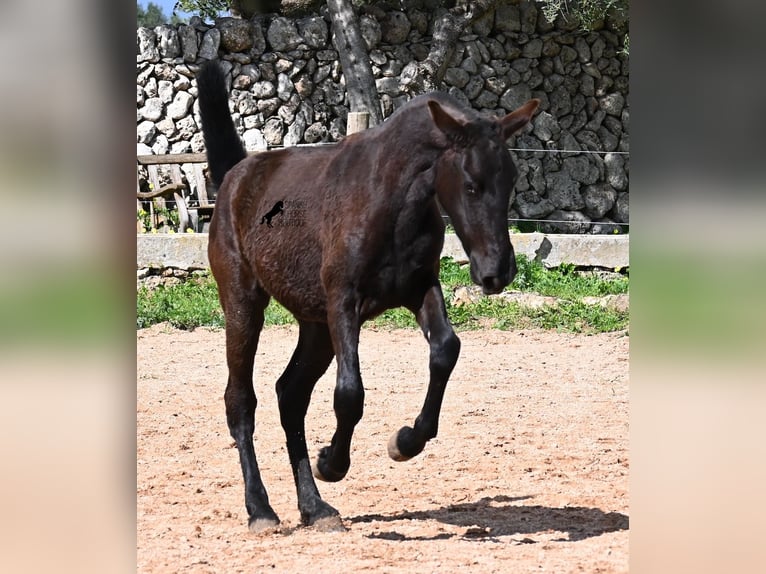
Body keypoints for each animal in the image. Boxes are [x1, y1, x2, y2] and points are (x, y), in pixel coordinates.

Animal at [198, 63, 540, 536]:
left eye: (511, 180)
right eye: (472, 185)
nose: (497, 272)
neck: (393, 199)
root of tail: (235, 176)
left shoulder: (419, 289)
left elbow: (445, 350)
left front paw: (406, 441)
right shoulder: (344, 302)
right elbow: (350, 393)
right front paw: (332, 463)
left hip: (315, 326)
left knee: (291, 394)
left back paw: (315, 508)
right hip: (244, 305)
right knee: (241, 401)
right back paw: (261, 510)